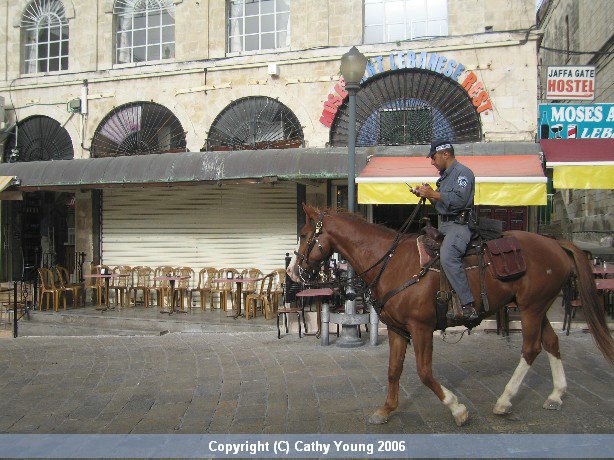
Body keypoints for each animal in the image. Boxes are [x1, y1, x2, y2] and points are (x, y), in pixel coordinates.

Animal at [290, 205, 614, 428]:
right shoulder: (396, 329)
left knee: (531, 348)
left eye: (305, 235)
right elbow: (393, 370)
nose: (294, 272)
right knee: (552, 343)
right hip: (536, 306)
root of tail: (555, 243)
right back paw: (556, 395)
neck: (391, 261)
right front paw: (386, 409)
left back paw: (505, 400)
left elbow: (424, 372)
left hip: (531, 309)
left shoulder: (421, 328)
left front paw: (457, 409)